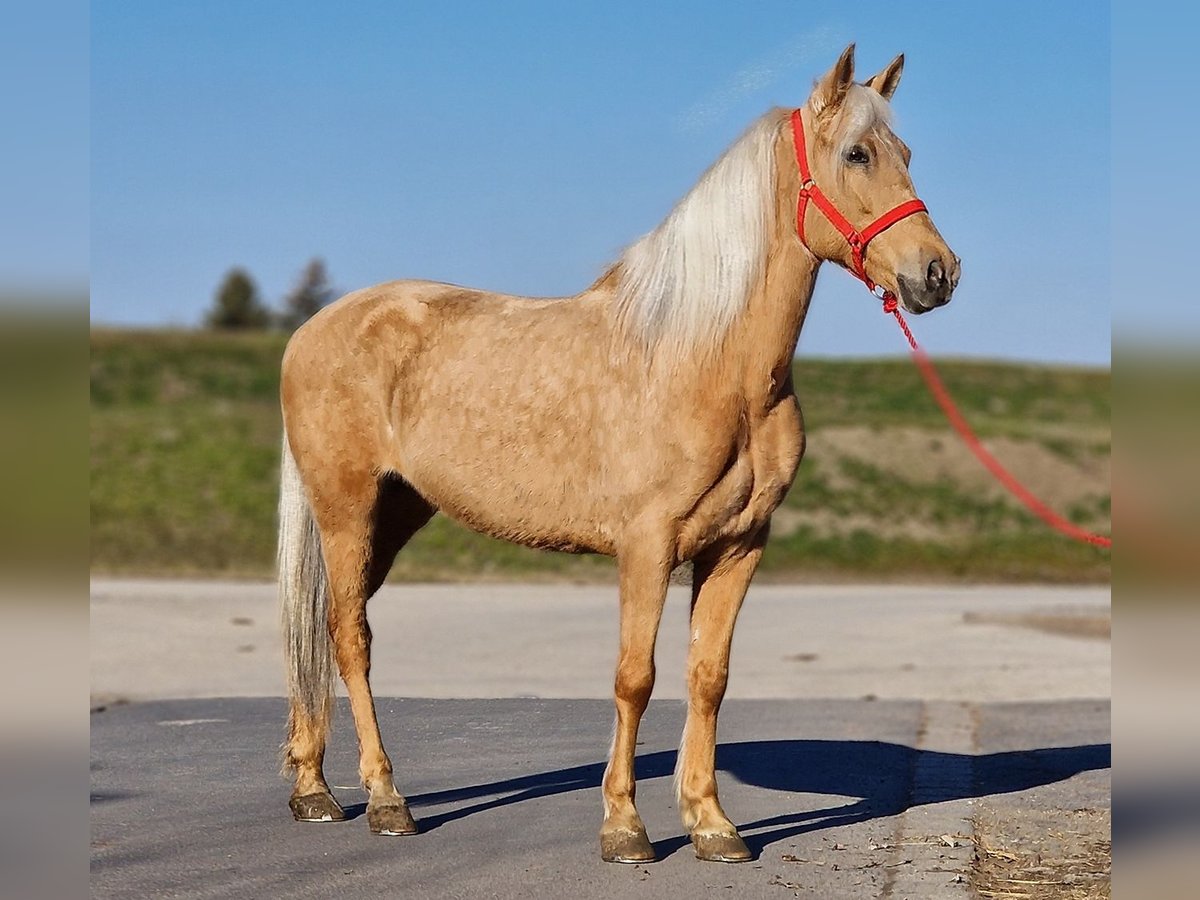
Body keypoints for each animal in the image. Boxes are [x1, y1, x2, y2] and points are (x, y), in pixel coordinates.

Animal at [276, 44, 960, 868]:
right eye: (857, 153)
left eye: (907, 153)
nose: (937, 273)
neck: (705, 358)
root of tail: (312, 330)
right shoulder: (646, 546)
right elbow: (636, 677)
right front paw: (625, 827)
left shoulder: (738, 546)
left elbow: (707, 676)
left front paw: (712, 824)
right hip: (347, 510)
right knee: (351, 637)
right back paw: (385, 800)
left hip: (394, 515)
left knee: (320, 629)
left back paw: (312, 788)